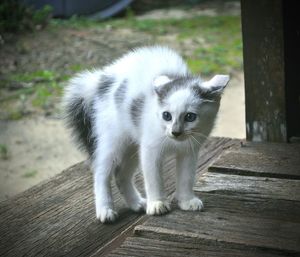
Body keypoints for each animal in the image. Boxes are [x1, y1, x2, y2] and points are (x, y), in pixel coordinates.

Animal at [62, 46, 229, 222]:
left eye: (190, 117)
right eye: (166, 115)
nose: (175, 132)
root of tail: (101, 79)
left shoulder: (189, 151)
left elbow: (186, 177)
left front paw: (186, 201)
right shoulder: (150, 149)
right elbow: (153, 178)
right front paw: (156, 203)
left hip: (132, 147)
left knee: (121, 175)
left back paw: (136, 203)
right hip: (112, 140)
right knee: (101, 172)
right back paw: (105, 210)